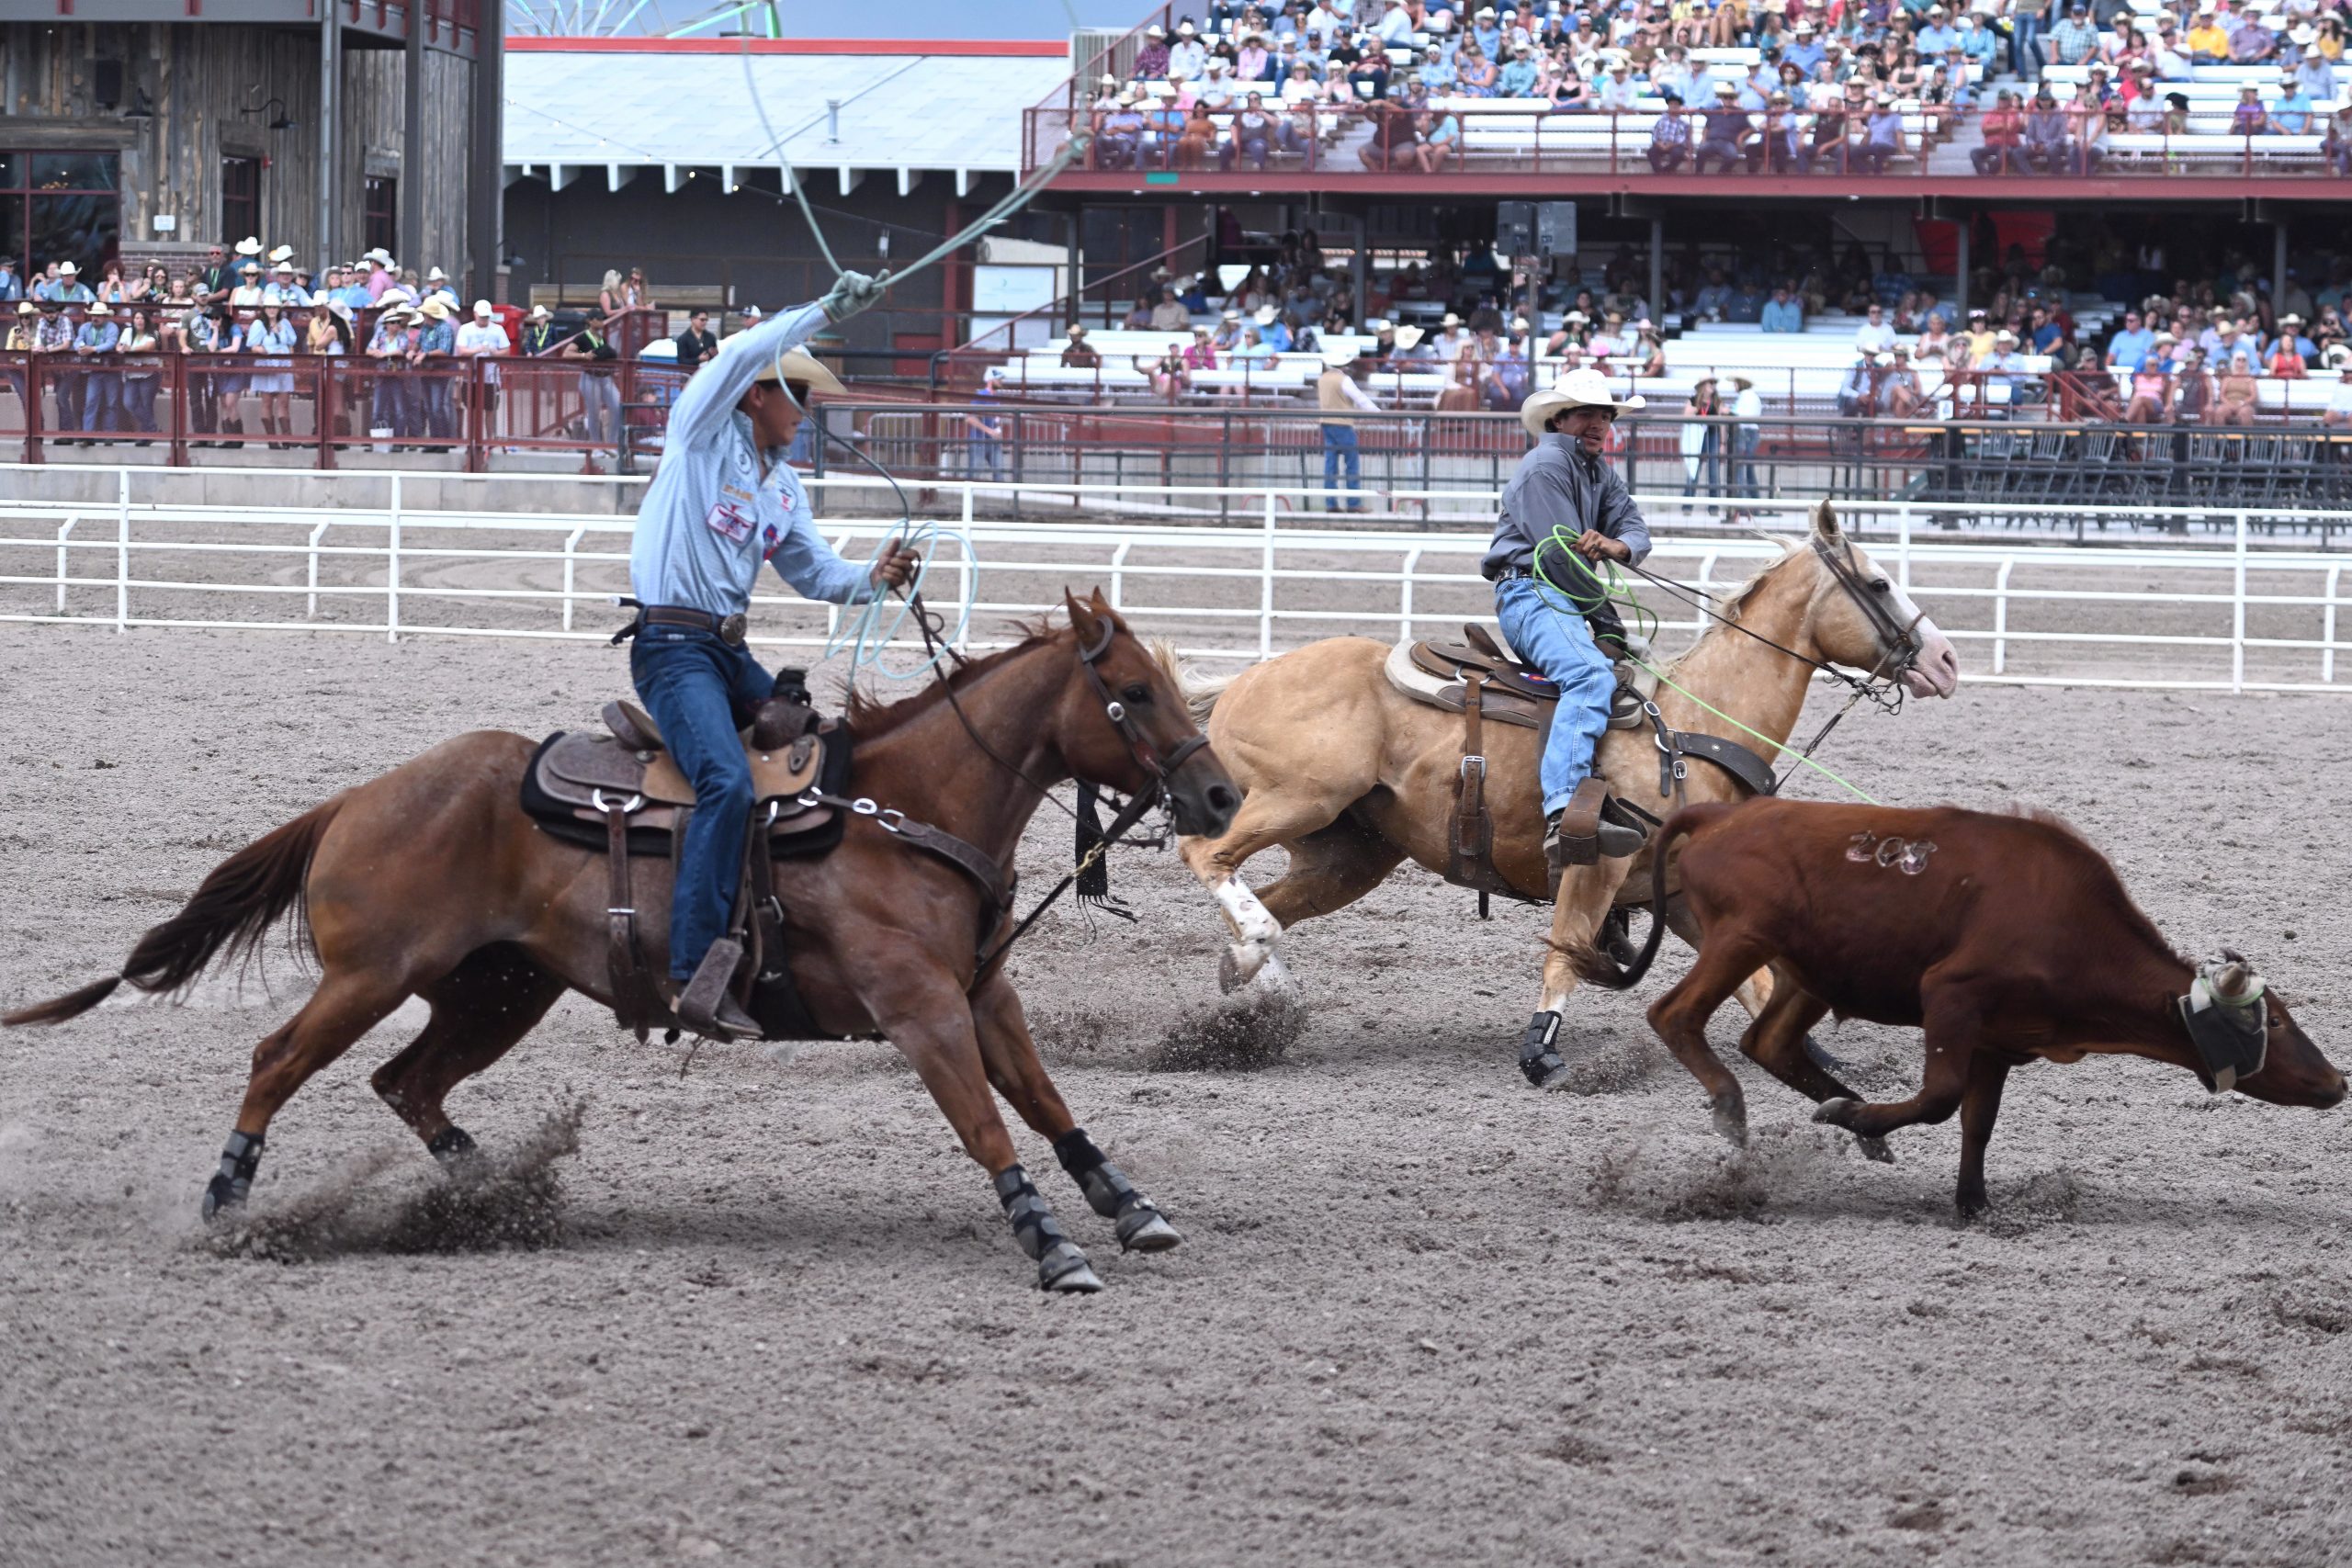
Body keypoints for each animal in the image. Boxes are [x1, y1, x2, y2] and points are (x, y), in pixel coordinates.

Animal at [5, 594, 1250, 1297]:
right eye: (1132, 691)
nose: (1223, 794)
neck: (900, 811)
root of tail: (361, 795)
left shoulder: (983, 997)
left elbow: (1046, 1102)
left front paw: (1126, 1204)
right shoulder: (921, 1010)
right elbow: (988, 1123)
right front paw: (1051, 1247)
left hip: (499, 992)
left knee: (407, 1082)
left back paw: (492, 1193)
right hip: (373, 975)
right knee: (278, 1061)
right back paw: (227, 1206)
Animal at [1176, 502, 1966, 1090]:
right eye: (1880, 583)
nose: (1947, 660)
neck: (1691, 726)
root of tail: (1245, 678)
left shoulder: (1677, 892)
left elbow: (1759, 983)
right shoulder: (1597, 866)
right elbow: (1566, 951)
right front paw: (1540, 1051)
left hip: (1348, 854)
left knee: (1261, 901)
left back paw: (1257, 979)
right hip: (1298, 797)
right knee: (1206, 854)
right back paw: (1256, 951)